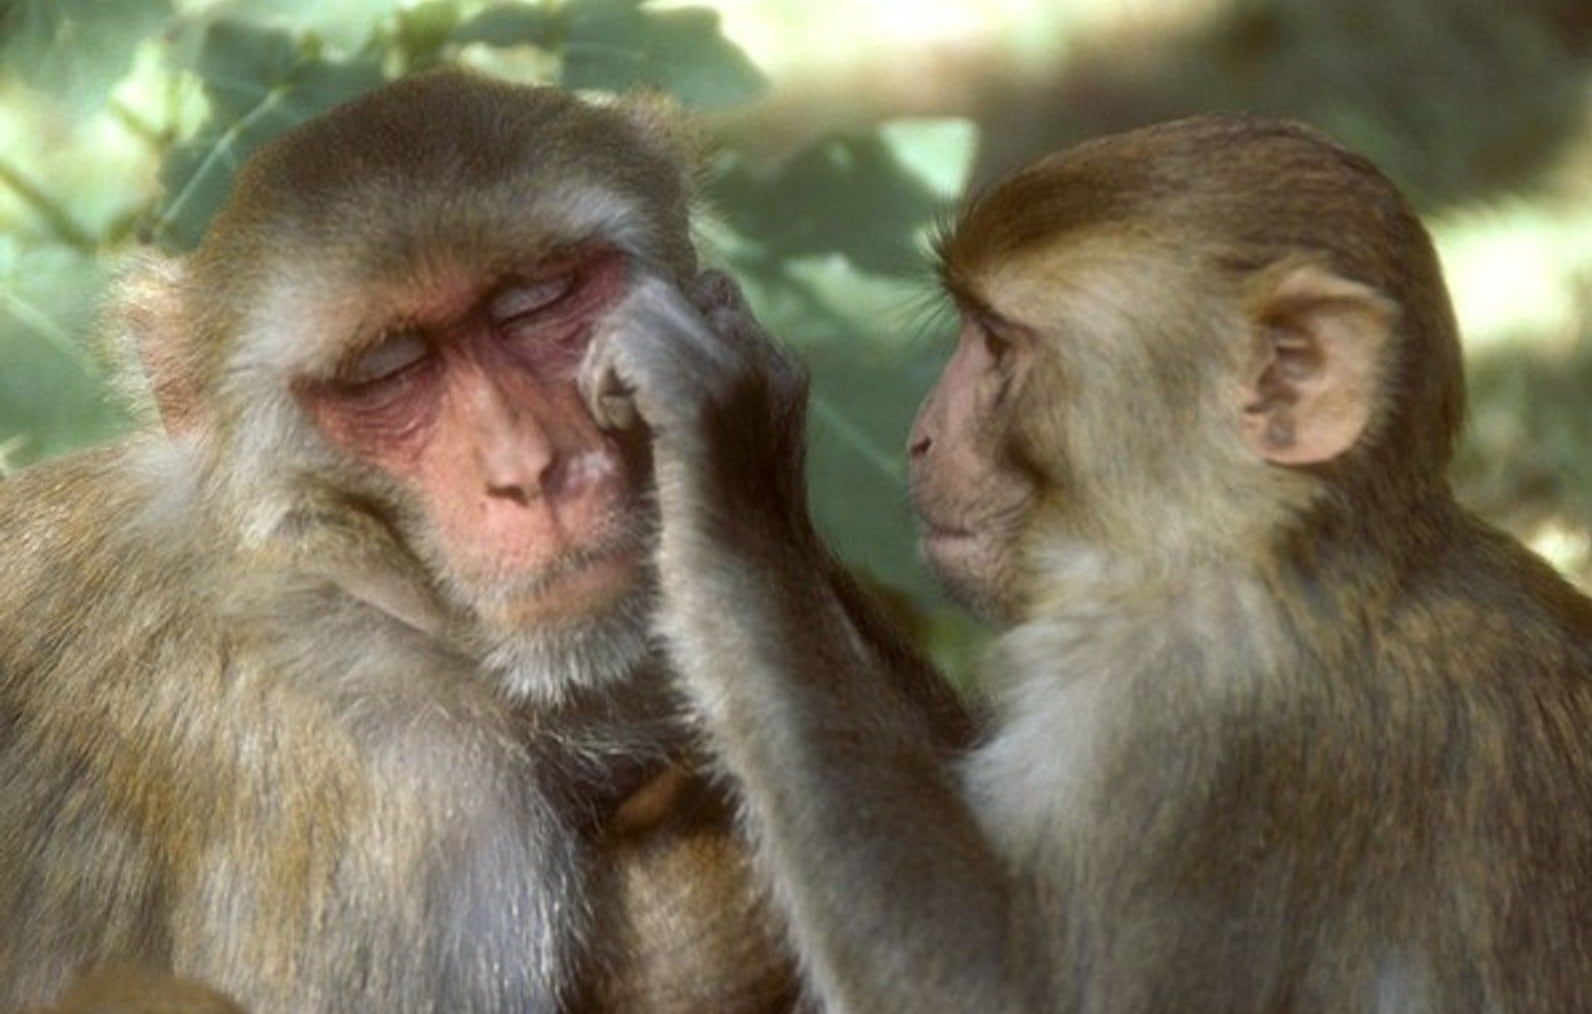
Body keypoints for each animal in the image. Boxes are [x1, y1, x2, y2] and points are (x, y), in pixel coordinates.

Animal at [581, 116, 1592, 1012]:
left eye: (995, 342)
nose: (920, 437)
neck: (1275, 553)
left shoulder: (1194, 725)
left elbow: (996, 989)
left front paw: (728, 435)